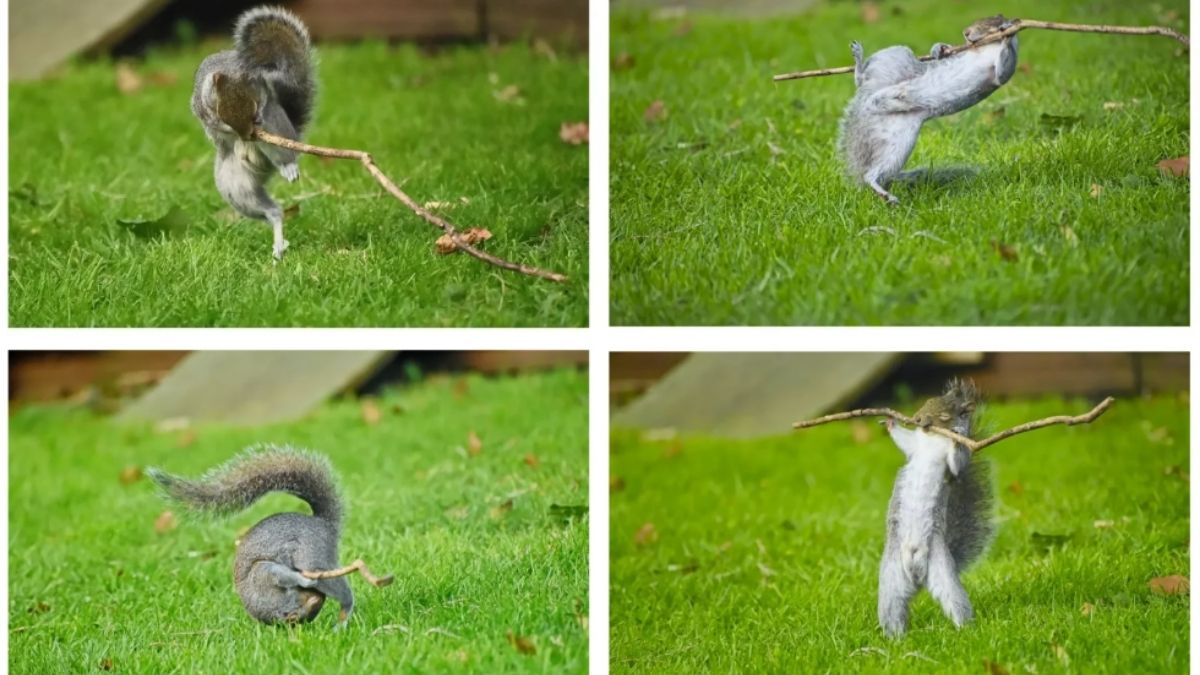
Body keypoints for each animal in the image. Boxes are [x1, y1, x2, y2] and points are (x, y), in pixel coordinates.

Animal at [148, 447, 355, 627]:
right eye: (297, 614)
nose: (317, 598)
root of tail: (324, 523)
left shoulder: (265, 573)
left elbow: (284, 575)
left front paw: (304, 580)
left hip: (312, 557)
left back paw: (343, 615)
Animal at [190, 6, 316, 260]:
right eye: (219, 107)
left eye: (253, 103)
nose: (247, 134)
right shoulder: (200, 103)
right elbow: (210, 121)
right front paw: (222, 127)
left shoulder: (262, 88)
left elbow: (265, 100)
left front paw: (258, 115)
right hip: (236, 187)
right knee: (274, 211)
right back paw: (279, 243)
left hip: (278, 132)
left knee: (283, 155)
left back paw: (288, 167)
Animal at [837, 15, 1018, 204]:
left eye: (990, 23)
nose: (966, 32)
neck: (986, 47)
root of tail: (868, 98)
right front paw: (939, 48)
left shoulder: (1001, 73)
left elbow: (1002, 72)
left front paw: (1007, 34)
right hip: (894, 61)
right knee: (863, 79)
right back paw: (858, 60)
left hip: (897, 140)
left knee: (872, 173)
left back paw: (884, 193)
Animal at [878, 378, 995, 637]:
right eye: (926, 401)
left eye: (945, 415)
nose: (917, 418)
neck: (933, 439)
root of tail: (917, 578)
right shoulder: (915, 447)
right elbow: (906, 441)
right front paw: (890, 421)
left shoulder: (956, 462)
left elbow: (957, 463)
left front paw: (955, 438)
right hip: (892, 578)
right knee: (894, 608)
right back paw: (895, 638)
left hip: (940, 568)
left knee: (955, 602)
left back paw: (965, 631)